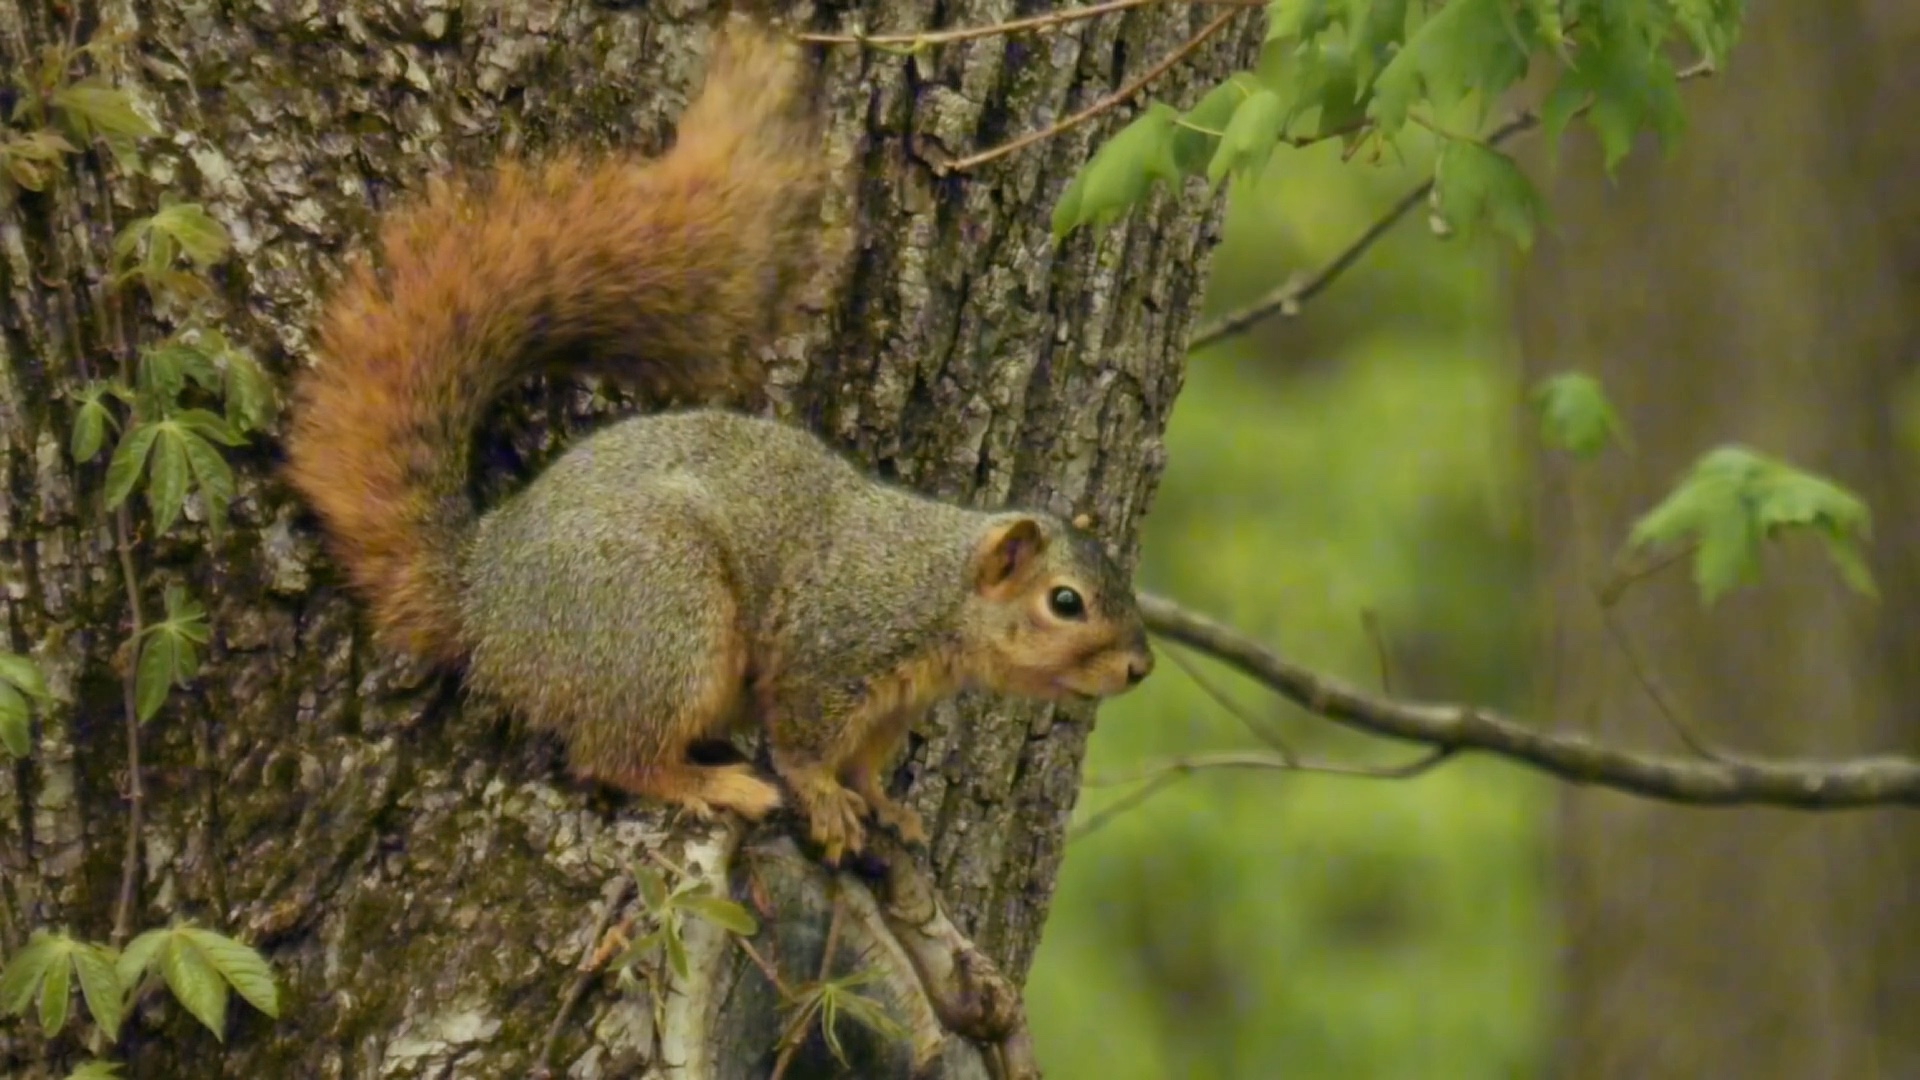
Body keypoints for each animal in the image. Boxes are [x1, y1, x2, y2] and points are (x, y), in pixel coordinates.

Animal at [282, 16, 1152, 860]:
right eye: (1065, 602)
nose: (1140, 667)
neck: (938, 588)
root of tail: (481, 597)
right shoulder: (829, 646)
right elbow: (802, 739)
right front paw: (824, 800)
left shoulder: (889, 709)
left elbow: (867, 764)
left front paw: (884, 807)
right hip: (664, 621)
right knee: (614, 754)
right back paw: (716, 785)